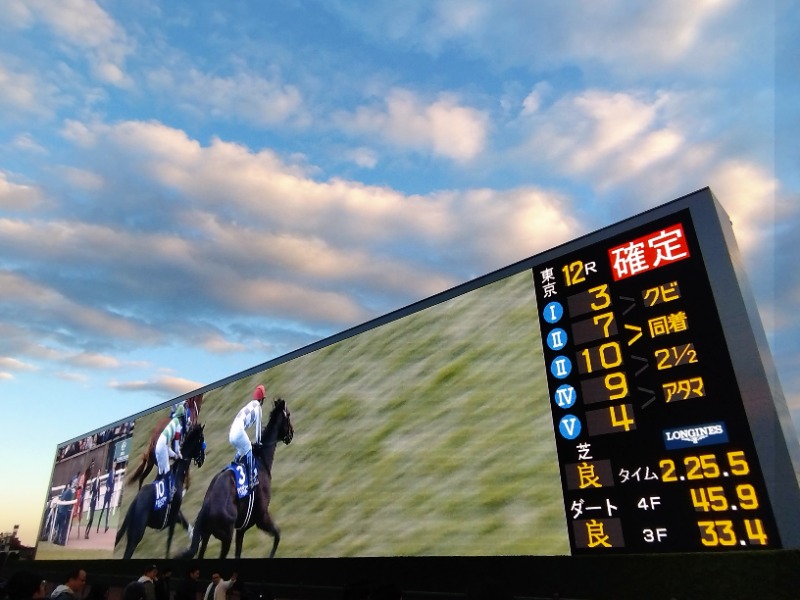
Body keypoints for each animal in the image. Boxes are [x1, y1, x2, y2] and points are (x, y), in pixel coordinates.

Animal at [114, 424, 206, 560]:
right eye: (202, 440)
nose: (203, 459)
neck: (176, 474)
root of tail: (134, 505)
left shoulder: (174, 514)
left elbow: (185, 523)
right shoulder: (173, 516)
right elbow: (169, 541)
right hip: (136, 536)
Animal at [178, 400, 294, 560]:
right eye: (288, 415)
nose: (291, 433)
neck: (261, 459)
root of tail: (206, 507)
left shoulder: (241, 529)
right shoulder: (261, 518)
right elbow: (277, 535)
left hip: (207, 535)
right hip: (226, 537)